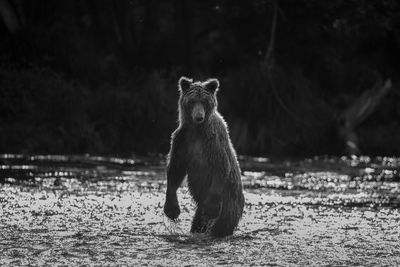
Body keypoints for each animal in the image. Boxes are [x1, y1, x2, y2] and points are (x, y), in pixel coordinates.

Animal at [162, 76, 244, 238]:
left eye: (205, 101)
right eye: (192, 101)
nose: (199, 117)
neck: (197, 130)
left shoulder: (213, 140)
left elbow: (221, 166)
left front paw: (211, 208)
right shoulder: (182, 139)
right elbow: (175, 169)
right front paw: (172, 209)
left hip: (230, 203)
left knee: (222, 224)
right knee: (199, 222)